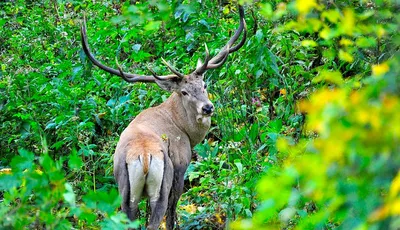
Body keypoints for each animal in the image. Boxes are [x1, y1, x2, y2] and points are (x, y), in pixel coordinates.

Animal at [80, 4, 245, 230]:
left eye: (204, 84)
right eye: (184, 92)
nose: (207, 107)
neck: (186, 131)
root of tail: (144, 156)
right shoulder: (181, 167)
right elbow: (173, 213)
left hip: (125, 190)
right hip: (162, 185)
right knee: (158, 218)